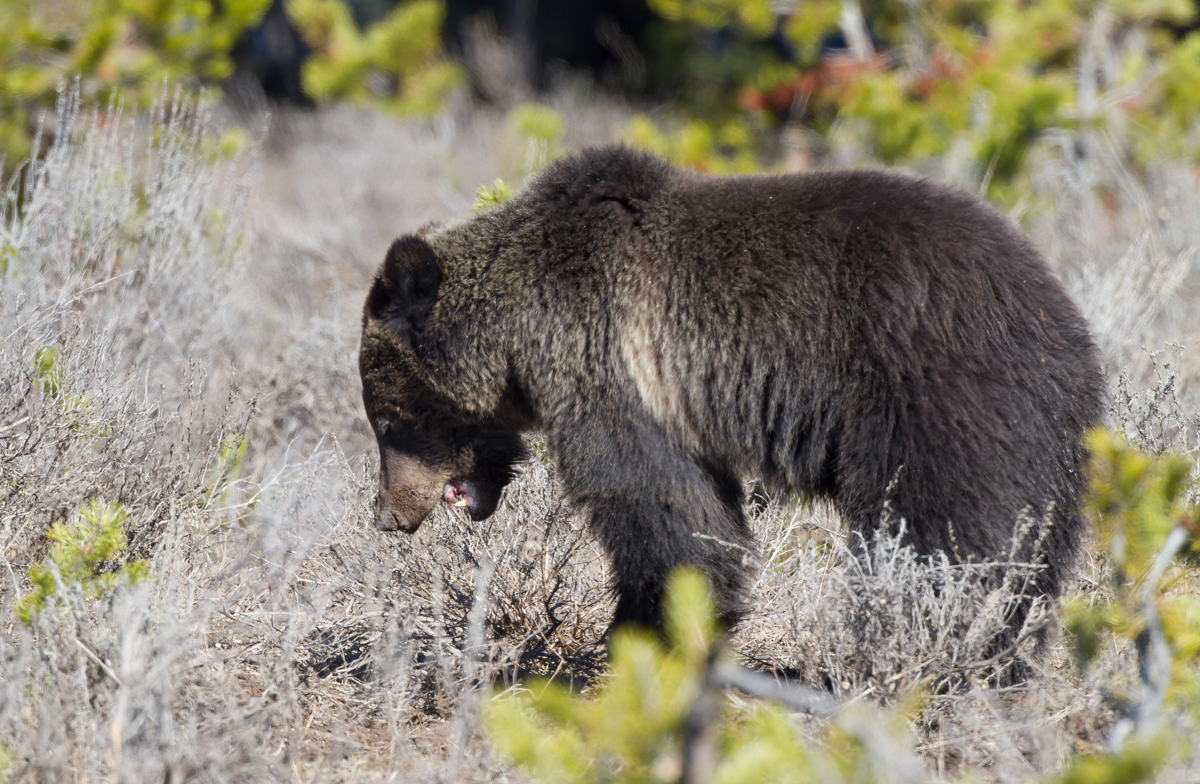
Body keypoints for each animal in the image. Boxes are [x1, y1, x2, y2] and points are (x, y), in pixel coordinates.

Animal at [359, 145, 1104, 633]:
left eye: (388, 420)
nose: (387, 512)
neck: (520, 333)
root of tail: (1061, 314)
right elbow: (700, 511)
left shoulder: (610, 369)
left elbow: (654, 506)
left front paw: (641, 629)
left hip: (933, 397)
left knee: (945, 534)